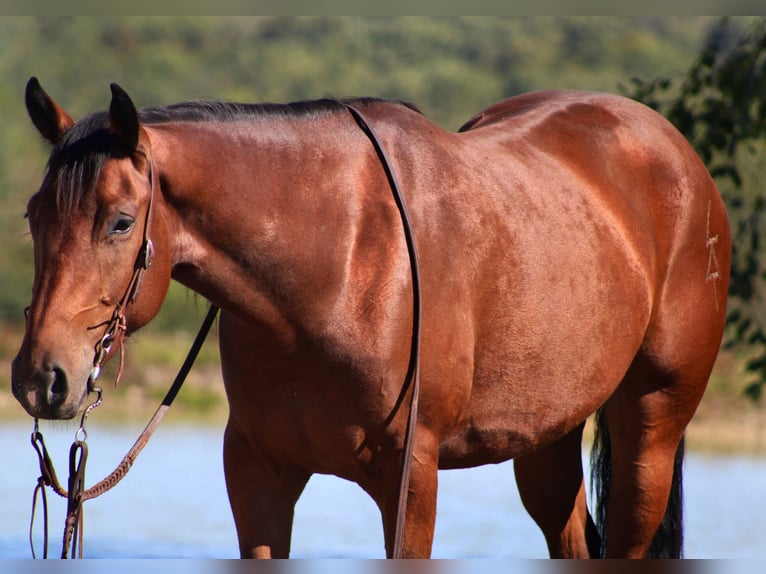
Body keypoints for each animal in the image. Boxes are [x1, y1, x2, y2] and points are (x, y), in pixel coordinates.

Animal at [12, 77, 730, 558]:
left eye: (119, 222)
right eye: (33, 214)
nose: (41, 378)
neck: (341, 262)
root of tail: (676, 155)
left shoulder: (410, 481)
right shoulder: (257, 472)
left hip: (651, 426)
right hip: (547, 437)